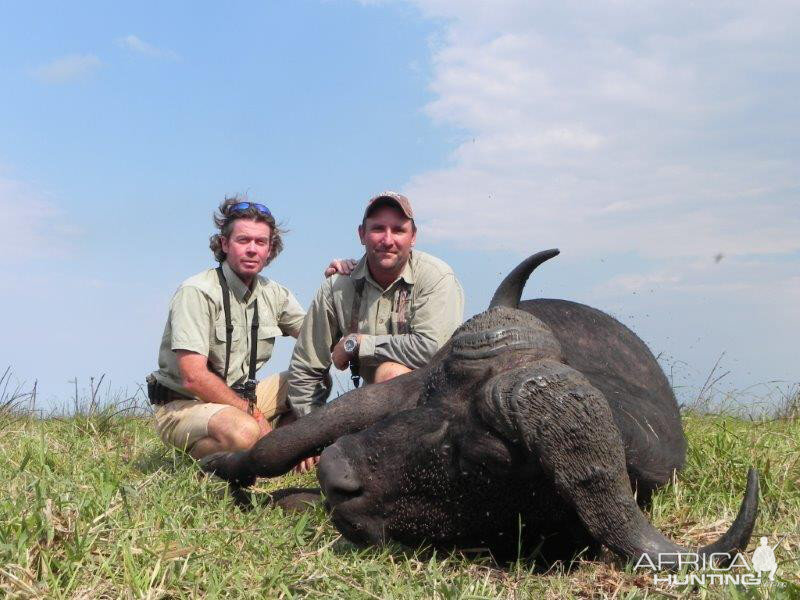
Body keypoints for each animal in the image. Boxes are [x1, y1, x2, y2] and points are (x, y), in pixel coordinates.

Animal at [202, 250, 756, 568]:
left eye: (483, 458)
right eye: (431, 393)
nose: (335, 473)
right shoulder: (387, 397)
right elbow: (272, 449)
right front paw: (225, 470)